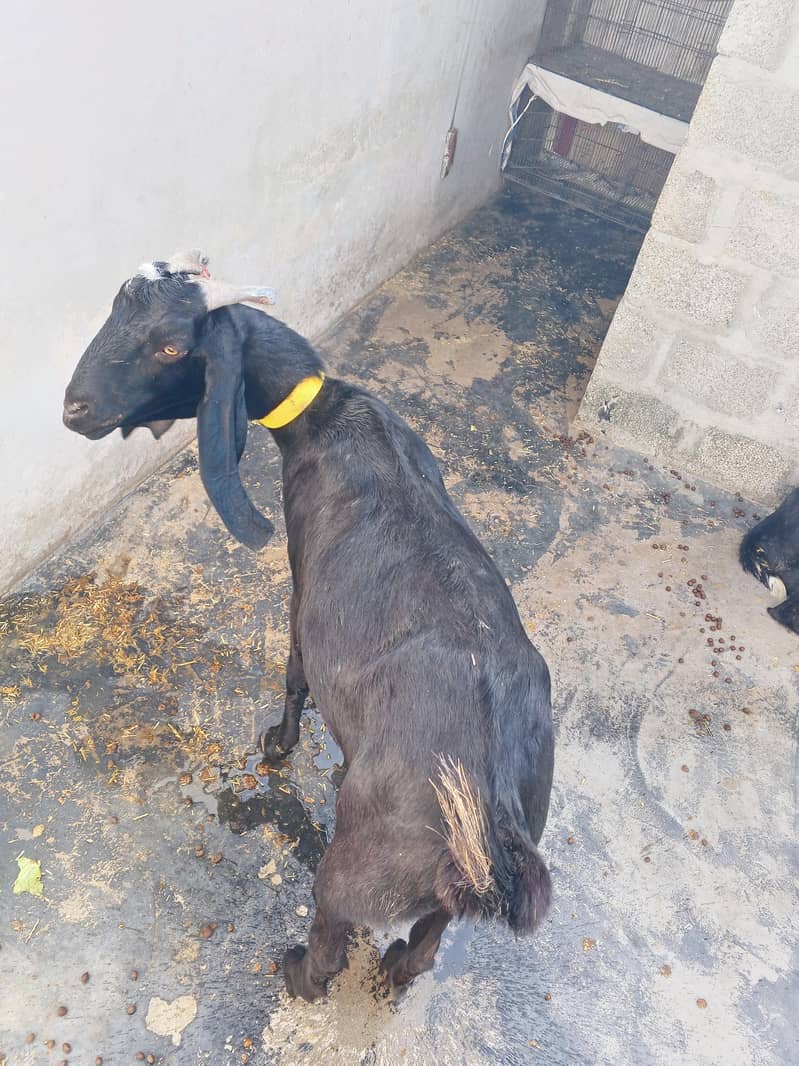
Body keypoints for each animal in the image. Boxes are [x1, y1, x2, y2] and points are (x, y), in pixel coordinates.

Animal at [63, 253, 554, 1001]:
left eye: (172, 347)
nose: (74, 409)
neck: (327, 415)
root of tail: (491, 826)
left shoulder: (302, 579)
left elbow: (296, 668)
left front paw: (279, 744)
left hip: (351, 872)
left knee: (332, 939)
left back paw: (297, 970)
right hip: (452, 890)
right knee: (425, 945)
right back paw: (398, 967)